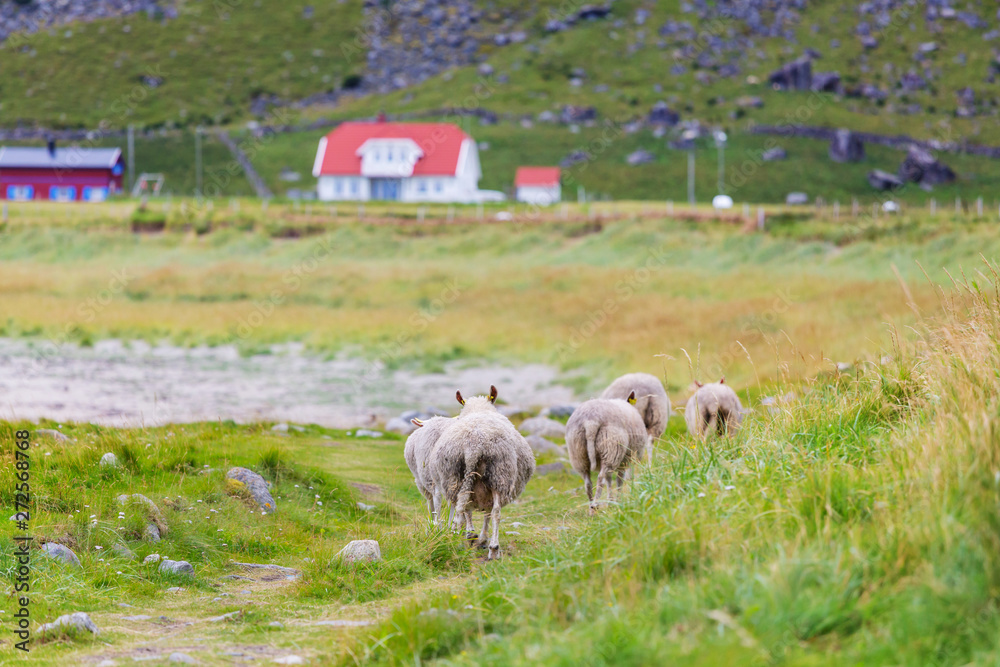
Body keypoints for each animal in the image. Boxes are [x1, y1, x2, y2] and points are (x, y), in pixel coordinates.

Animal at [430, 385, 535, 560]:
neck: (478, 409)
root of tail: (473, 446)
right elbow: (487, 513)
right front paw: (483, 539)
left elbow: (476, 512)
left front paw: (475, 536)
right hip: (500, 475)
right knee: (495, 512)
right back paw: (493, 548)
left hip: (455, 477)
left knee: (464, 508)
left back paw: (467, 538)